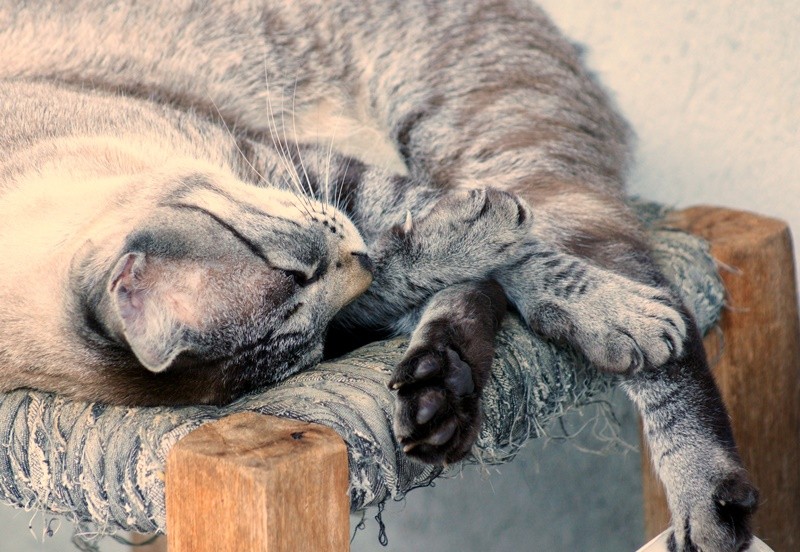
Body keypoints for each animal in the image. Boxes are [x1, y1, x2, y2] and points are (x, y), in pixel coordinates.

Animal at [0, 0, 756, 548]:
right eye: (314, 340)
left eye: (292, 267)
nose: (354, 259)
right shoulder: (352, 272)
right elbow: (426, 262)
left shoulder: (310, 175)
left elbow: (509, 254)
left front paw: (609, 310)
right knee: (477, 297)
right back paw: (437, 400)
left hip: (496, 148)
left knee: (649, 306)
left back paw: (708, 497)